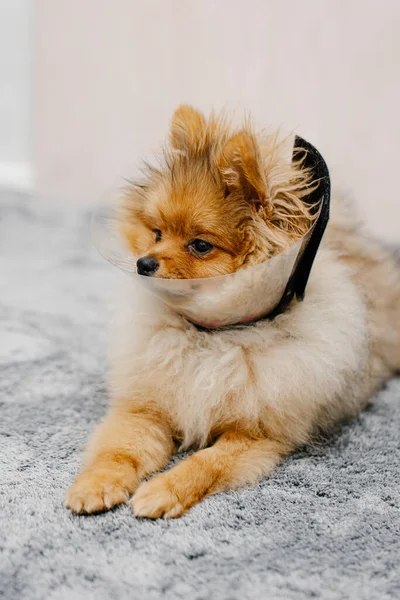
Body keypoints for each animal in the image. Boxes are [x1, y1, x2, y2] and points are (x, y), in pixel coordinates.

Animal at [65, 105, 400, 516]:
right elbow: (119, 450)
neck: (212, 336)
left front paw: (166, 490)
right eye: (156, 233)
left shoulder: (256, 435)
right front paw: (97, 483)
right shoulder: (146, 411)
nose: (144, 263)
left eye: (200, 246)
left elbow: (206, 463)